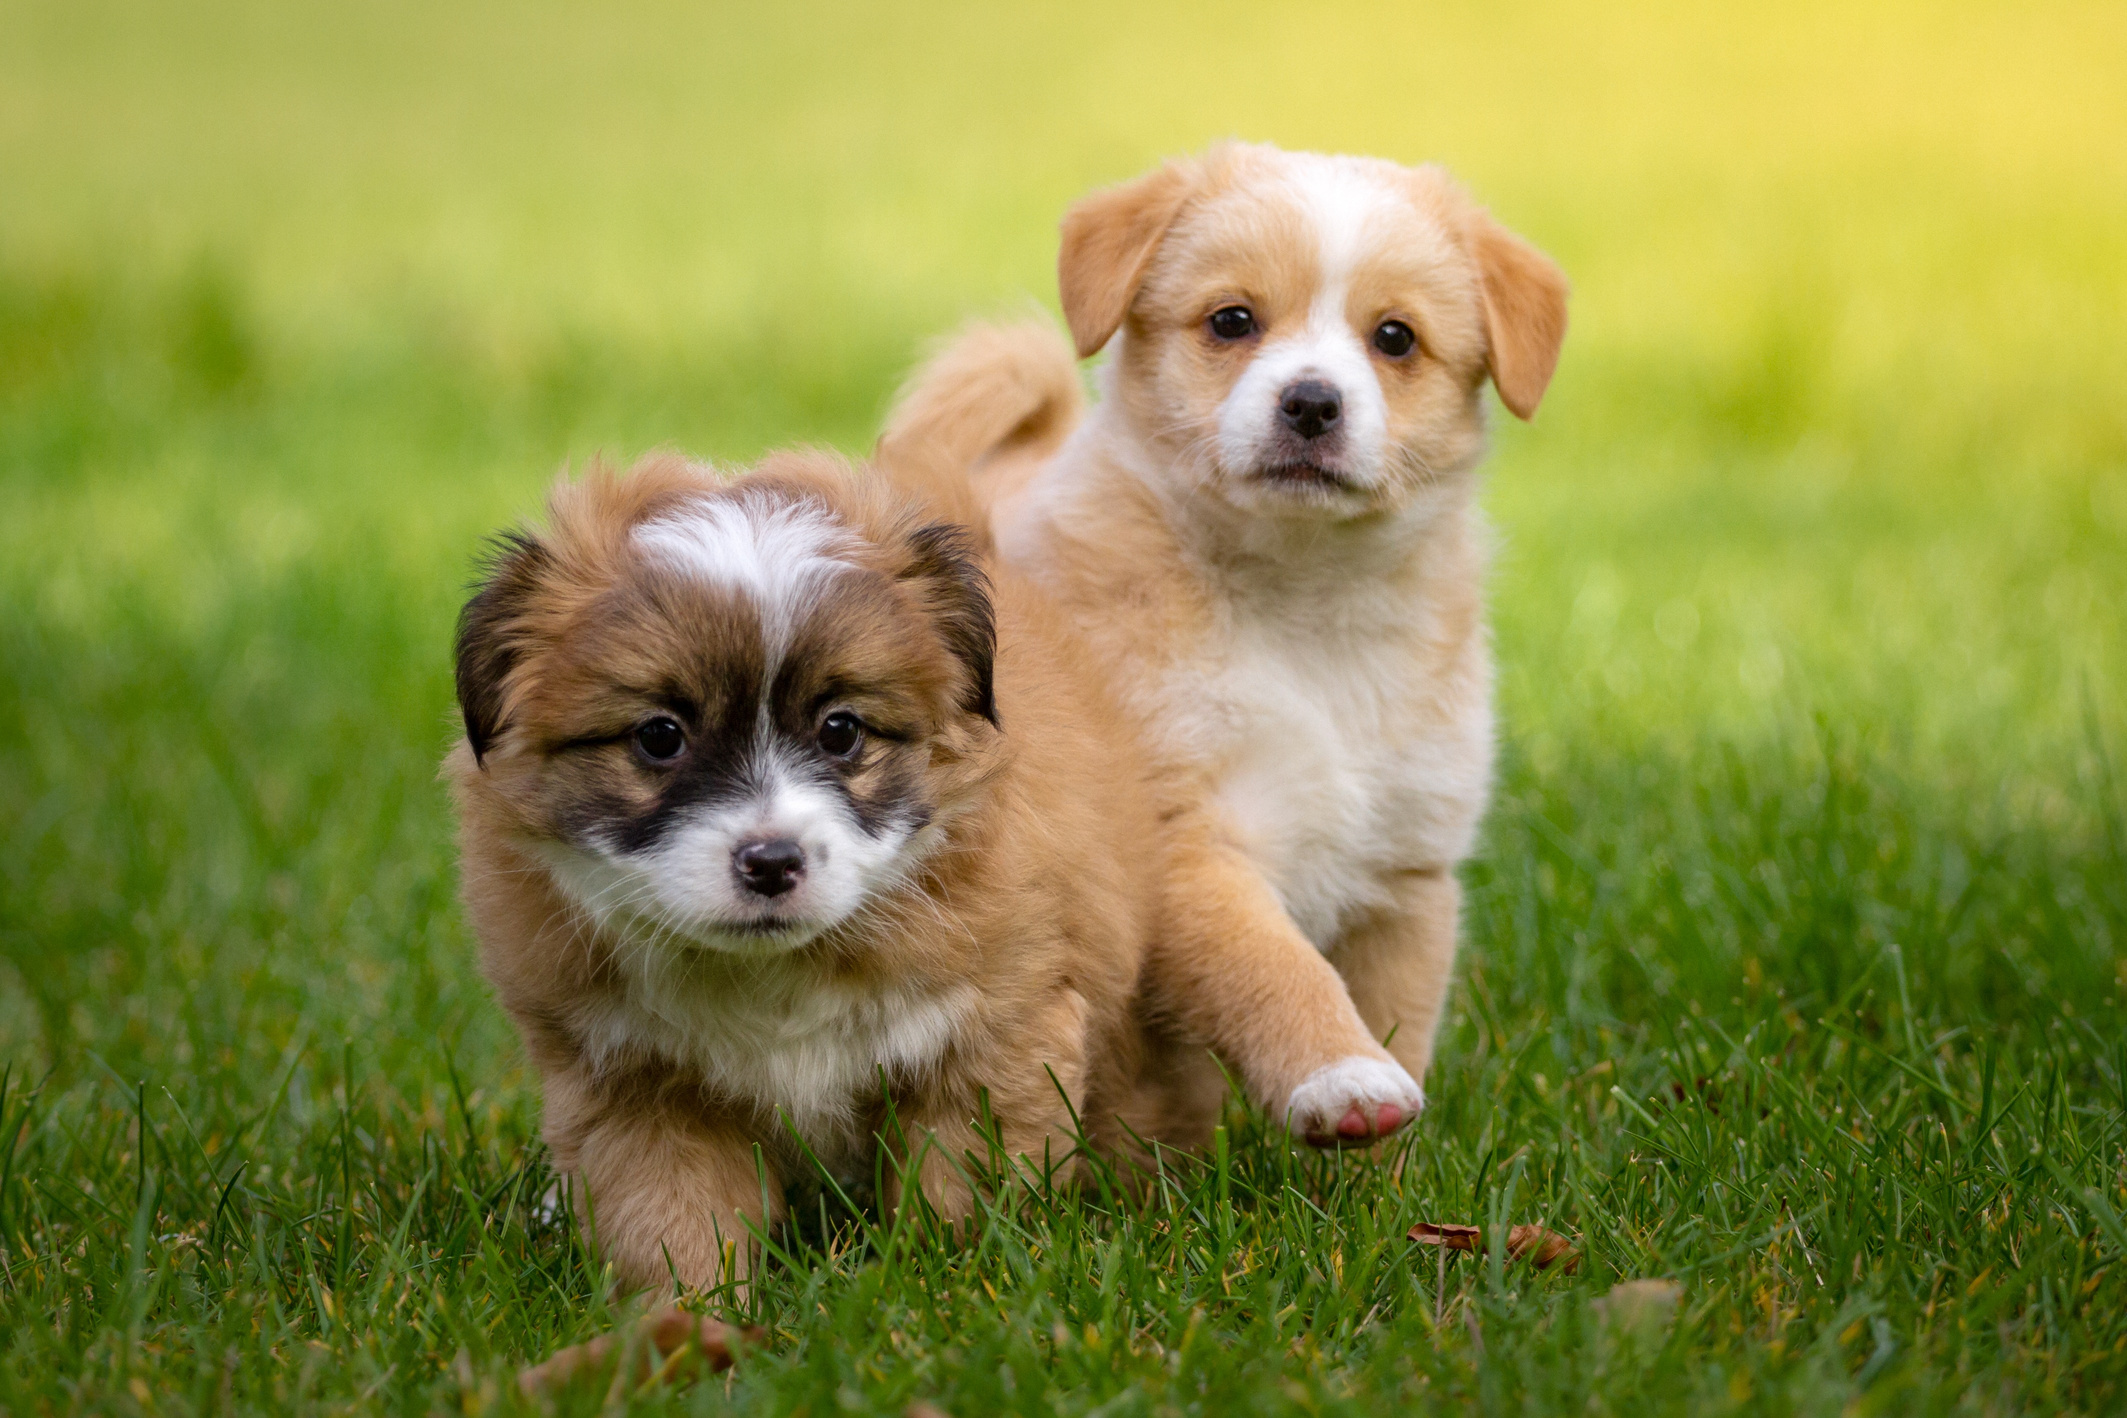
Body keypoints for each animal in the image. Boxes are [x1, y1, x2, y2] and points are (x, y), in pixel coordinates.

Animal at [444, 448, 1216, 1292]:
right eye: (659, 736)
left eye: (840, 730)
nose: (770, 862)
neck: (777, 973)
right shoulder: (636, 1084)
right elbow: (671, 1220)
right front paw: (691, 1312)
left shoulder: (995, 1038)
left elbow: (957, 1193)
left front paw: (945, 1283)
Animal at [876, 141, 1565, 1139]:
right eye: (1232, 321)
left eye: (1394, 338)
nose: (1312, 403)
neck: (1303, 612)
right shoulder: (1184, 844)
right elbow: (1272, 968)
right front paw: (1340, 1075)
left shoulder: (1404, 877)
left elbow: (1399, 1026)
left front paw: (1387, 1163)